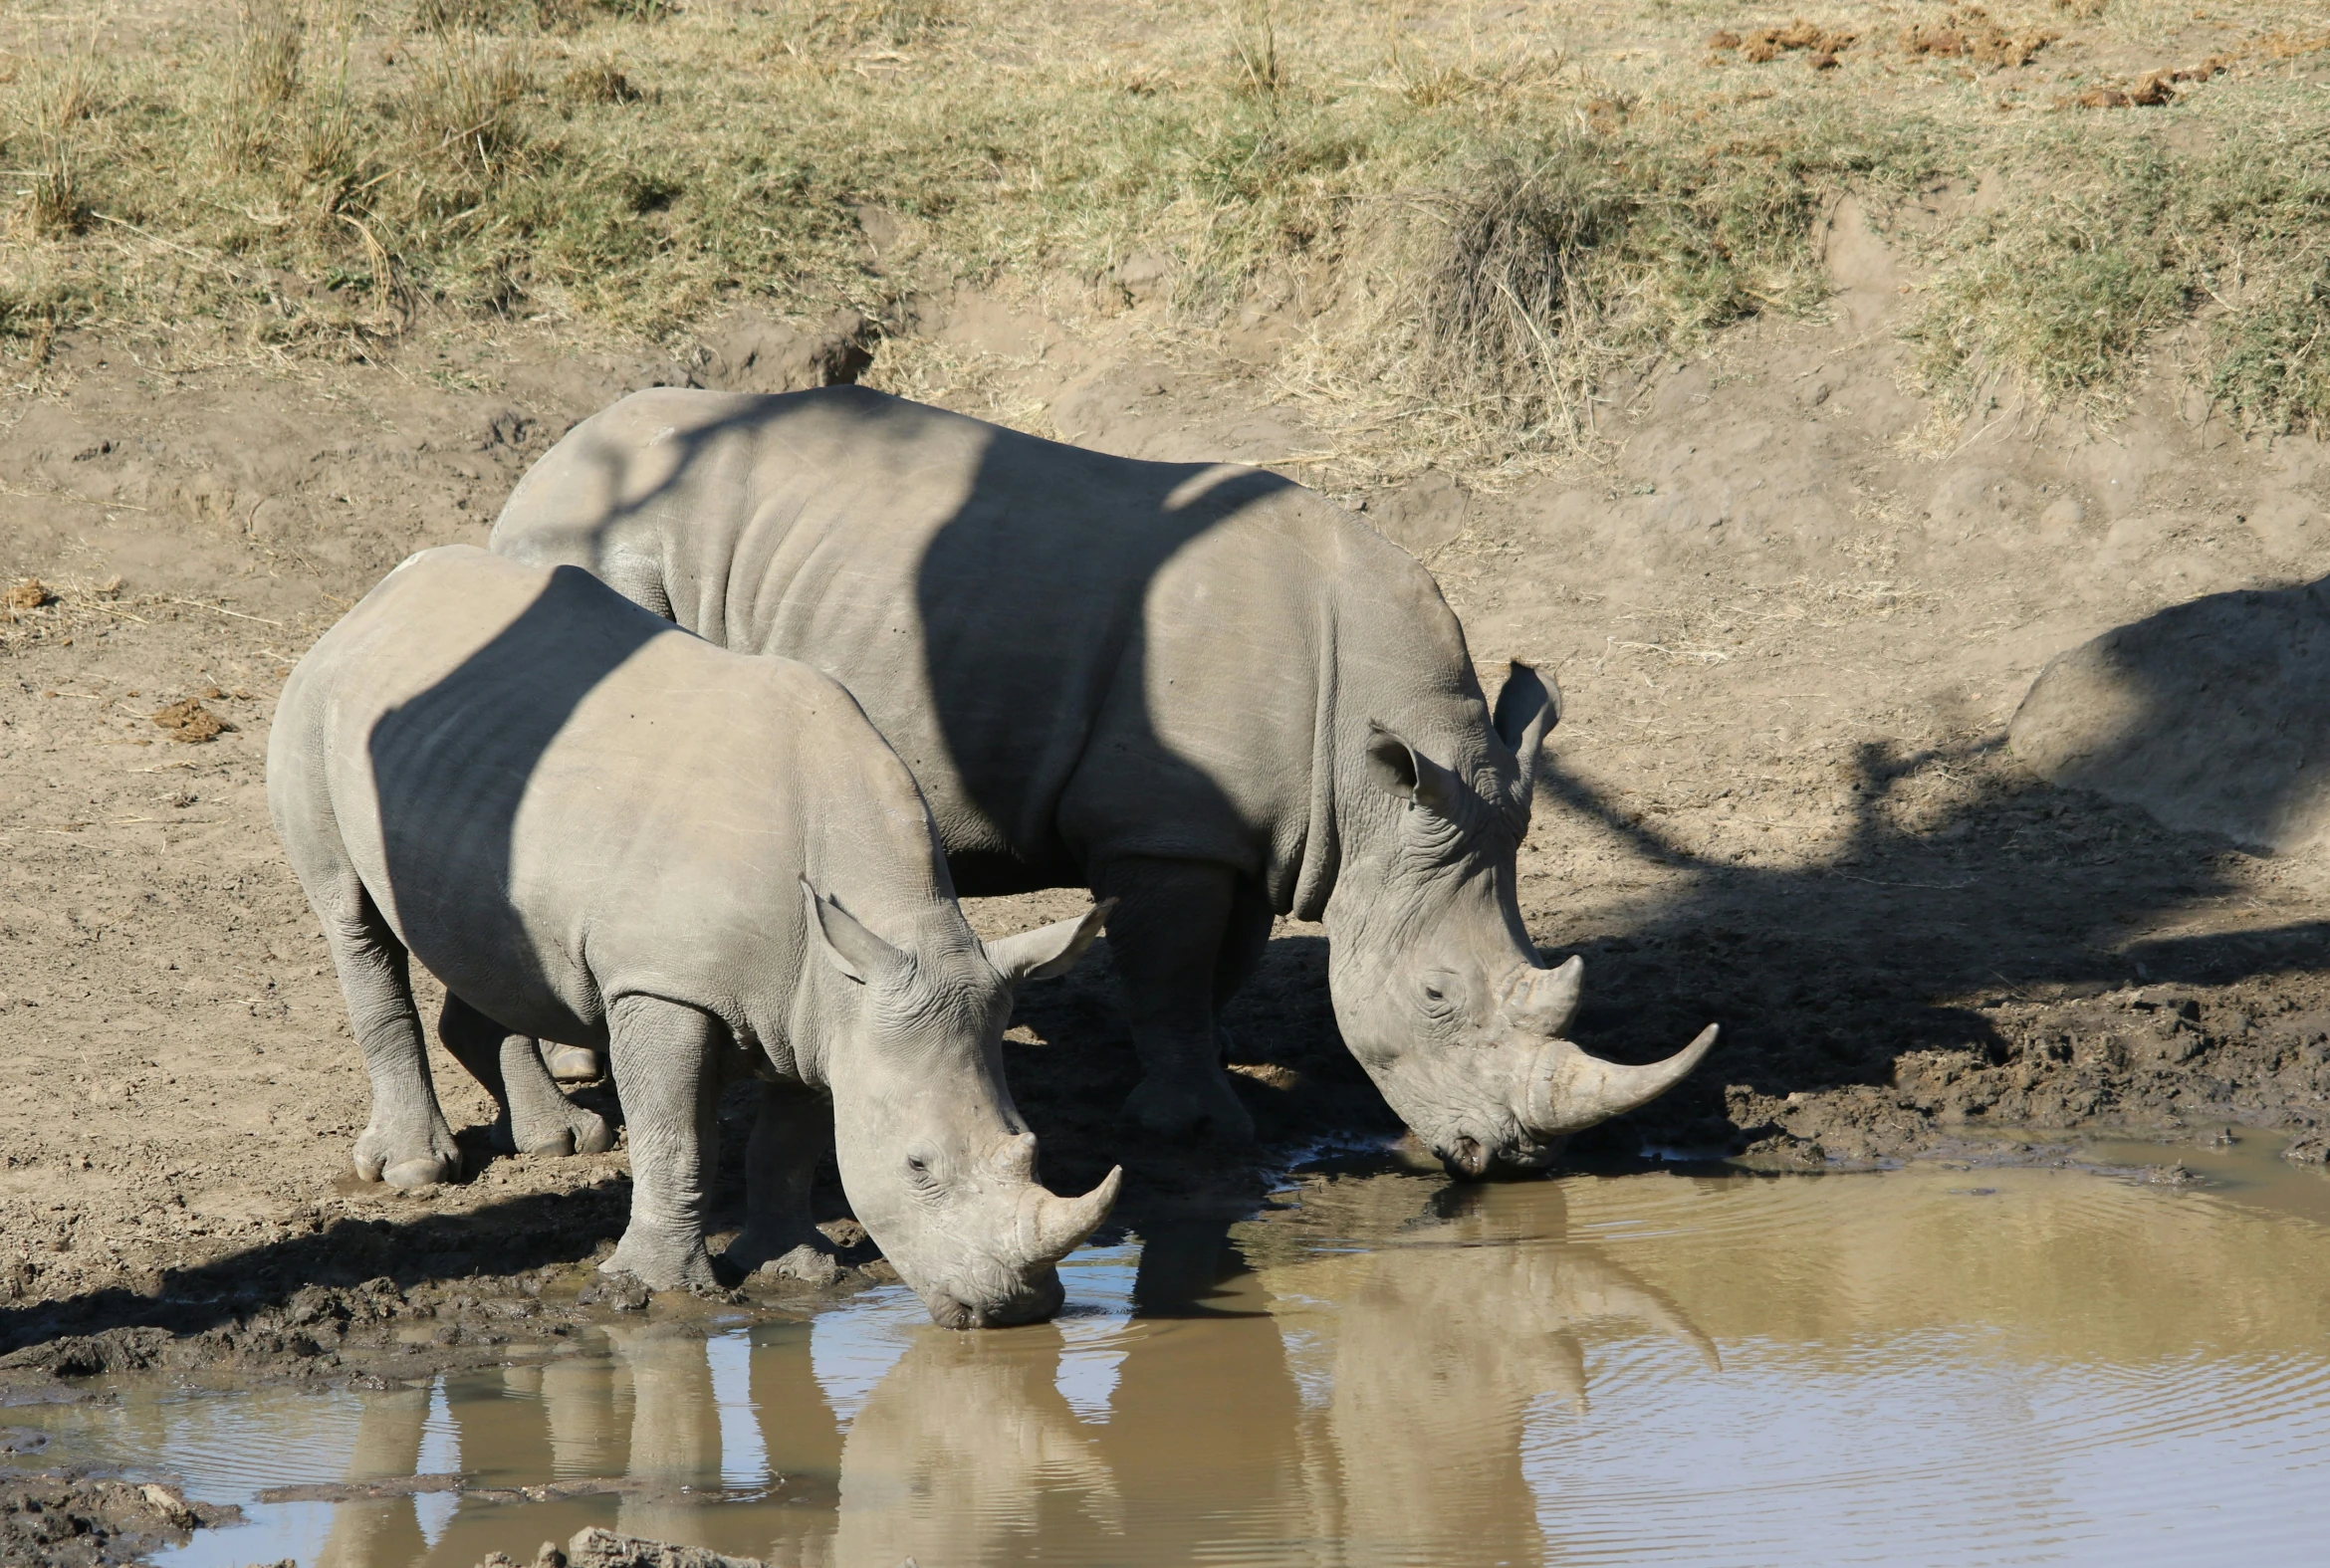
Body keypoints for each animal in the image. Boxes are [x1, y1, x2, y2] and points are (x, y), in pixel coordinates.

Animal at [264, 547, 1118, 1323]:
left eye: (1031, 1145)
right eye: (918, 1166)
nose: (1018, 1308)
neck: (892, 924)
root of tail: (376, 597)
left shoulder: (823, 998)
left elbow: (788, 1140)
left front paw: (795, 1270)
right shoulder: (664, 981)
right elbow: (672, 1135)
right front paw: (655, 1288)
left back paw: (562, 1141)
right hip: (315, 705)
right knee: (353, 920)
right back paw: (417, 1172)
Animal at [496, 388, 1715, 1174]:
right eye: (1437, 1000)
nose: (1507, 1158)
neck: (1380, 776)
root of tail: (540, 471)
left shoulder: (1247, 832)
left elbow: (1218, 971)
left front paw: (1204, 1096)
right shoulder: (1164, 830)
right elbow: (1170, 974)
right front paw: (1198, 1128)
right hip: (596, 553)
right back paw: (568, 1128)